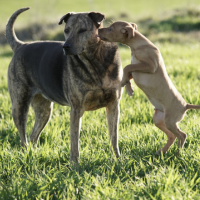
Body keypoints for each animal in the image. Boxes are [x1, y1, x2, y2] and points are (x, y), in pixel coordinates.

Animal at [5, 8, 122, 164]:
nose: (65, 47)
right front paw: (75, 164)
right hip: (19, 105)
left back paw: (33, 156)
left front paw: (117, 159)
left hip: (44, 110)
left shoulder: (113, 105)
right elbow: (74, 141)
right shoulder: (76, 109)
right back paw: (26, 157)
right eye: (66, 30)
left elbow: (114, 137)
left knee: (33, 136)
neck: (96, 60)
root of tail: (21, 45)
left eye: (82, 30)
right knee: (23, 139)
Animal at [99, 21, 200, 155]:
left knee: (182, 135)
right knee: (172, 136)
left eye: (110, 29)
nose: (98, 30)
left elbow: (127, 67)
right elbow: (127, 72)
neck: (138, 46)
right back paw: (162, 152)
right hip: (159, 120)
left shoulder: (150, 66)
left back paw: (178, 154)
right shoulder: (137, 70)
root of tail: (185, 105)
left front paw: (126, 85)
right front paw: (128, 88)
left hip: (170, 121)